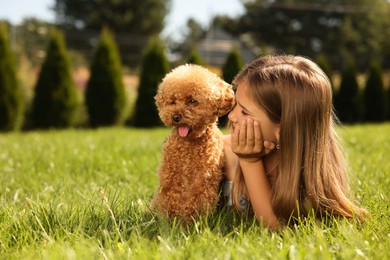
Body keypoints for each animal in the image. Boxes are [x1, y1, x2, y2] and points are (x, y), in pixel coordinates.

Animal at [151, 64, 233, 220]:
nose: (176, 117)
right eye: (173, 102)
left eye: (192, 101)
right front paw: (168, 221)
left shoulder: (202, 179)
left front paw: (189, 222)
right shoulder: (171, 176)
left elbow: (196, 202)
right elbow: (169, 198)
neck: (189, 144)